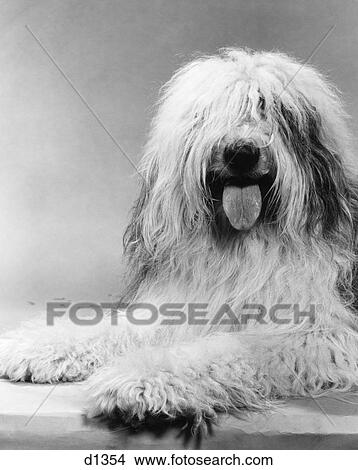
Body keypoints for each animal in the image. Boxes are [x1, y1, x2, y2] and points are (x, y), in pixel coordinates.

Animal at [0, 48, 358, 430]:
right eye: (208, 113)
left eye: (269, 107)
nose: (241, 152)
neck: (240, 243)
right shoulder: (182, 303)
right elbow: (114, 328)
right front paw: (37, 345)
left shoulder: (320, 333)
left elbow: (232, 349)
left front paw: (139, 381)